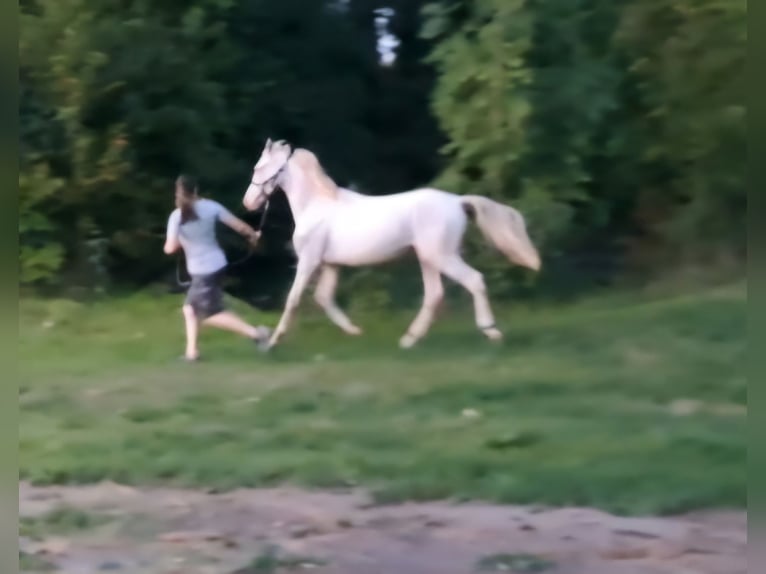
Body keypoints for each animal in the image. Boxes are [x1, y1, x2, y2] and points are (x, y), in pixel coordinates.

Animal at [243, 138, 544, 352]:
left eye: (258, 167)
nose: (248, 203)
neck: (316, 206)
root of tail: (458, 202)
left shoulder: (309, 261)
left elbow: (293, 299)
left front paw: (273, 341)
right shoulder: (331, 265)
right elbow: (324, 298)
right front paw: (355, 332)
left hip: (443, 257)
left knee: (474, 280)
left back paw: (491, 331)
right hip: (428, 259)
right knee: (434, 296)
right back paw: (409, 340)